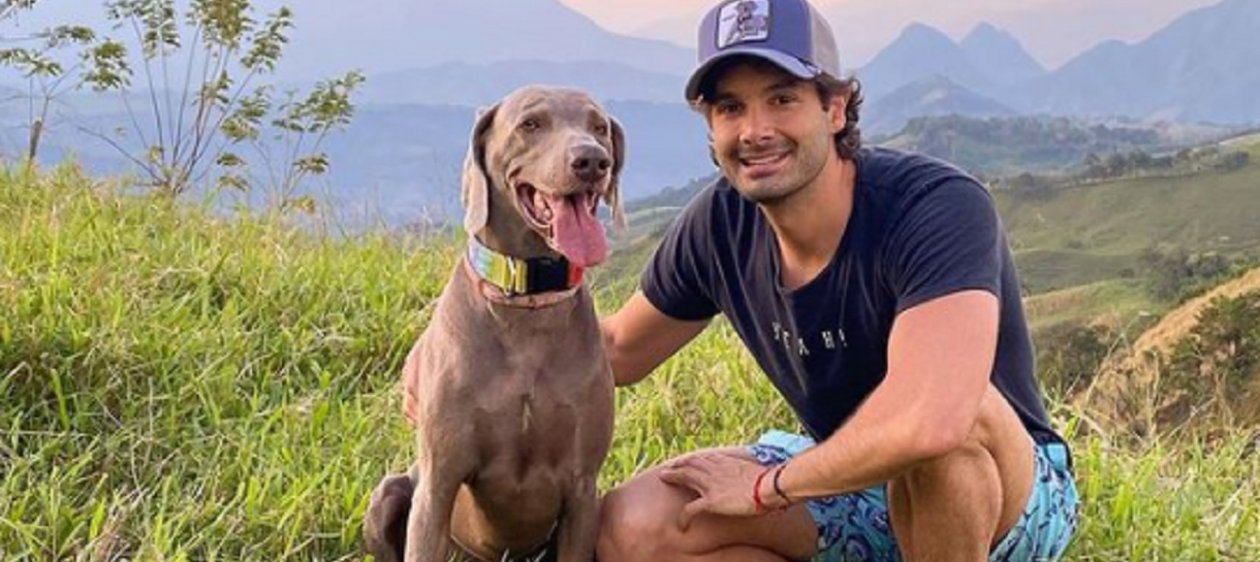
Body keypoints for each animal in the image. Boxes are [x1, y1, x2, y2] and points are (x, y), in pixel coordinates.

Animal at [362, 85, 622, 562]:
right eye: (530, 124)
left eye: (599, 127)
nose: (593, 161)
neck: (527, 298)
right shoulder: (438, 482)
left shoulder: (583, 490)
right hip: (390, 492)